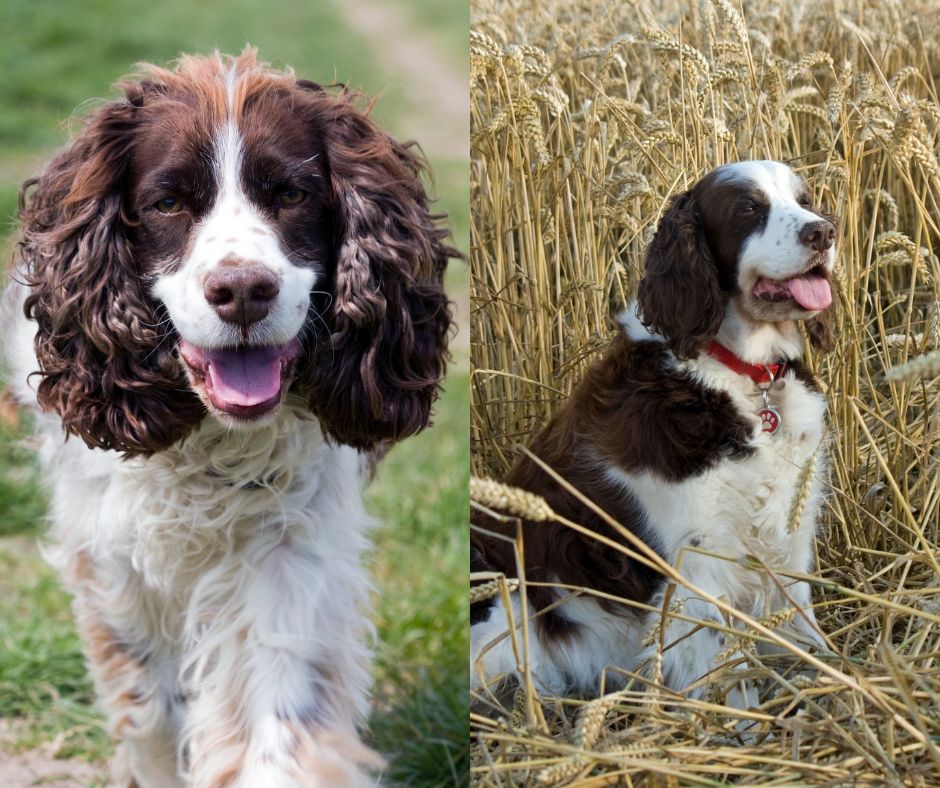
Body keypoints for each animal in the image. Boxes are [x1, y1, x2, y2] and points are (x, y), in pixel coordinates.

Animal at [0, 50, 456, 788]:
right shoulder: (109, 551)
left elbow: (277, 711)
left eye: (292, 194)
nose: (243, 290)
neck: (208, 440)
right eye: (167, 203)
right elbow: (149, 705)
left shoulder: (285, 542)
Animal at [474, 159, 832, 700]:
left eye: (805, 200)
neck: (742, 377)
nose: (824, 232)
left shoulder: (789, 527)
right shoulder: (698, 558)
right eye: (748, 209)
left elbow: (801, 625)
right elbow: (716, 664)